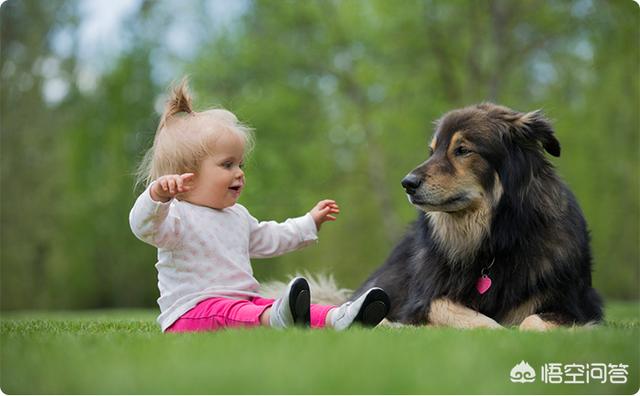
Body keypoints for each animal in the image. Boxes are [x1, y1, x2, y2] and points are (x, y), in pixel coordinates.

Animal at [352, 103, 604, 332]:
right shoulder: (424, 299)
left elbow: (532, 322)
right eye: (432, 151)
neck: (495, 244)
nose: (407, 183)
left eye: (462, 150)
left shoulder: (575, 306)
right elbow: (458, 311)